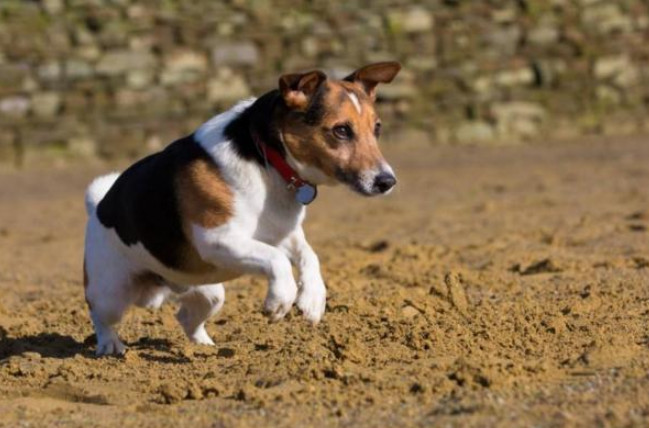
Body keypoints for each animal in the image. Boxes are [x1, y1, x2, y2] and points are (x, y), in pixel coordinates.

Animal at [81, 60, 400, 354]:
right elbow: (277, 260)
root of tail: (99, 206)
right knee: (100, 317)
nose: (388, 181)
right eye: (341, 130)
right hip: (111, 292)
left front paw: (313, 299)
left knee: (186, 318)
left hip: (209, 294)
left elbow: (309, 255)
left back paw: (204, 347)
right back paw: (110, 345)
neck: (267, 159)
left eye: (378, 128)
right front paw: (280, 300)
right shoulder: (217, 239)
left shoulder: (282, 233)